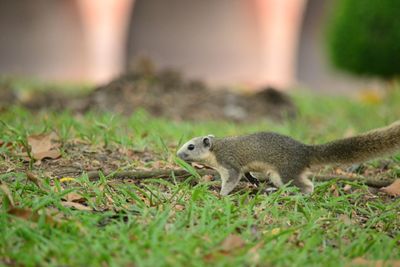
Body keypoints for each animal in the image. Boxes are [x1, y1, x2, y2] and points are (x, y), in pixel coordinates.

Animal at [177, 122, 400, 196]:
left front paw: (221, 194)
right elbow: (247, 173)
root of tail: (305, 151)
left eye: (190, 146)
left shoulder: (229, 164)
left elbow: (231, 180)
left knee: (308, 187)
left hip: (284, 173)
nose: (178, 155)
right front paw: (254, 181)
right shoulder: (242, 167)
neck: (217, 149)